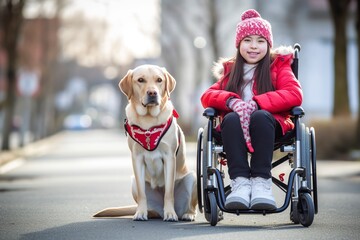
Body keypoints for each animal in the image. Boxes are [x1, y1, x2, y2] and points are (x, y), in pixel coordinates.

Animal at [93, 65, 197, 221]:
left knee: (192, 206)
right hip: (133, 182)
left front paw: (170, 213)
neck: (149, 120)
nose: (152, 92)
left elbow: (169, 192)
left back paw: (186, 214)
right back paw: (148, 211)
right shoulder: (137, 158)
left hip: (192, 177)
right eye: (140, 80)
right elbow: (143, 193)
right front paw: (140, 213)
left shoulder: (169, 157)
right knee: (149, 204)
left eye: (159, 80)